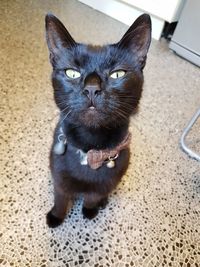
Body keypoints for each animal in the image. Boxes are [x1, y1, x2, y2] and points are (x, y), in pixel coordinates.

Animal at [45, 13, 151, 228]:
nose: (92, 88)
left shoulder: (106, 180)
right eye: (72, 72)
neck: (89, 151)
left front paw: (89, 210)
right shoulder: (58, 177)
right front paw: (56, 217)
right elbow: (60, 198)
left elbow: (93, 195)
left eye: (117, 74)